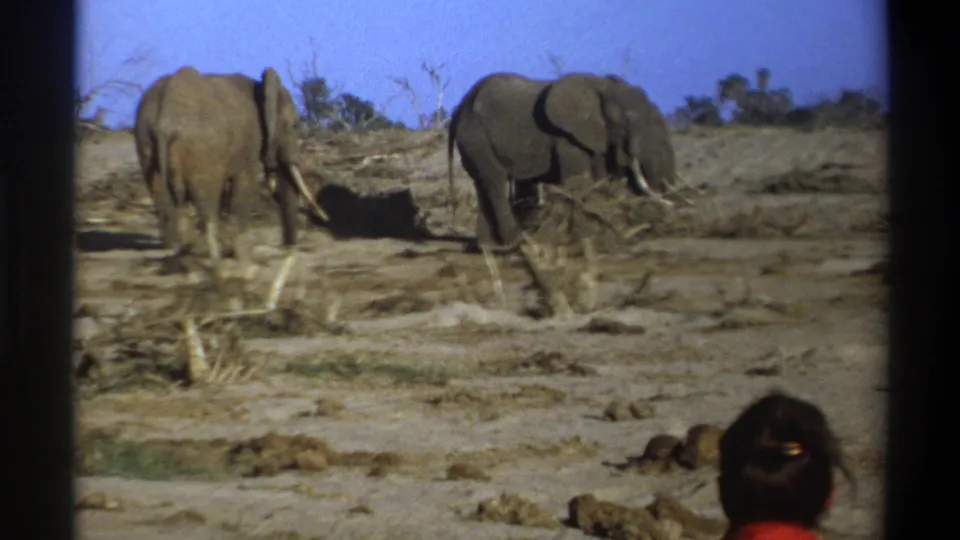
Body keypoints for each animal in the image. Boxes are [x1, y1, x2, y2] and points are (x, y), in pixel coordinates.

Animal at [133, 65, 326, 277]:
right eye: (294, 125)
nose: (289, 249)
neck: (261, 88)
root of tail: (165, 121)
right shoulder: (250, 141)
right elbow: (246, 184)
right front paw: (245, 262)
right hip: (202, 148)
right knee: (207, 203)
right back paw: (216, 266)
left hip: (145, 141)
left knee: (165, 201)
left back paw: (178, 260)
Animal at [447, 72, 677, 251]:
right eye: (628, 120)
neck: (600, 85)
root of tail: (459, 108)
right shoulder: (567, 138)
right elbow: (579, 181)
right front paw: (586, 237)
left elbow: (600, 179)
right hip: (476, 137)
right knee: (494, 183)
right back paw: (516, 243)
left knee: (484, 185)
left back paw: (489, 247)